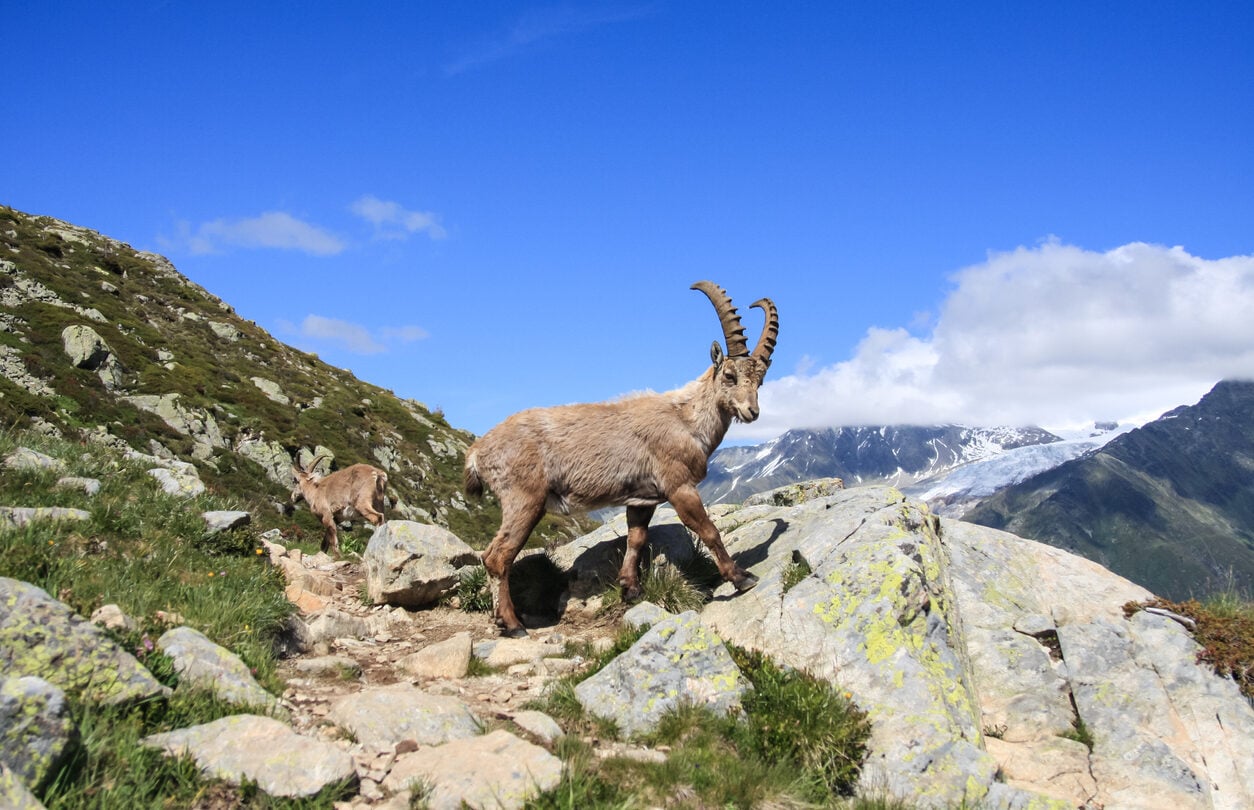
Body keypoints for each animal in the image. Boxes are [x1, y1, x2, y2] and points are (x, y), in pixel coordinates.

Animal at [464, 281, 779, 636]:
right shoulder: (679, 486)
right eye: (729, 375)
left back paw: (502, 619)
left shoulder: (641, 498)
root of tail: (478, 451)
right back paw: (513, 623)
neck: (686, 420)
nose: (752, 412)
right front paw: (741, 577)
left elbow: (636, 539)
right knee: (497, 557)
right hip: (524, 499)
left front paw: (630, 589)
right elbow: (708, 530)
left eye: (760, 380)